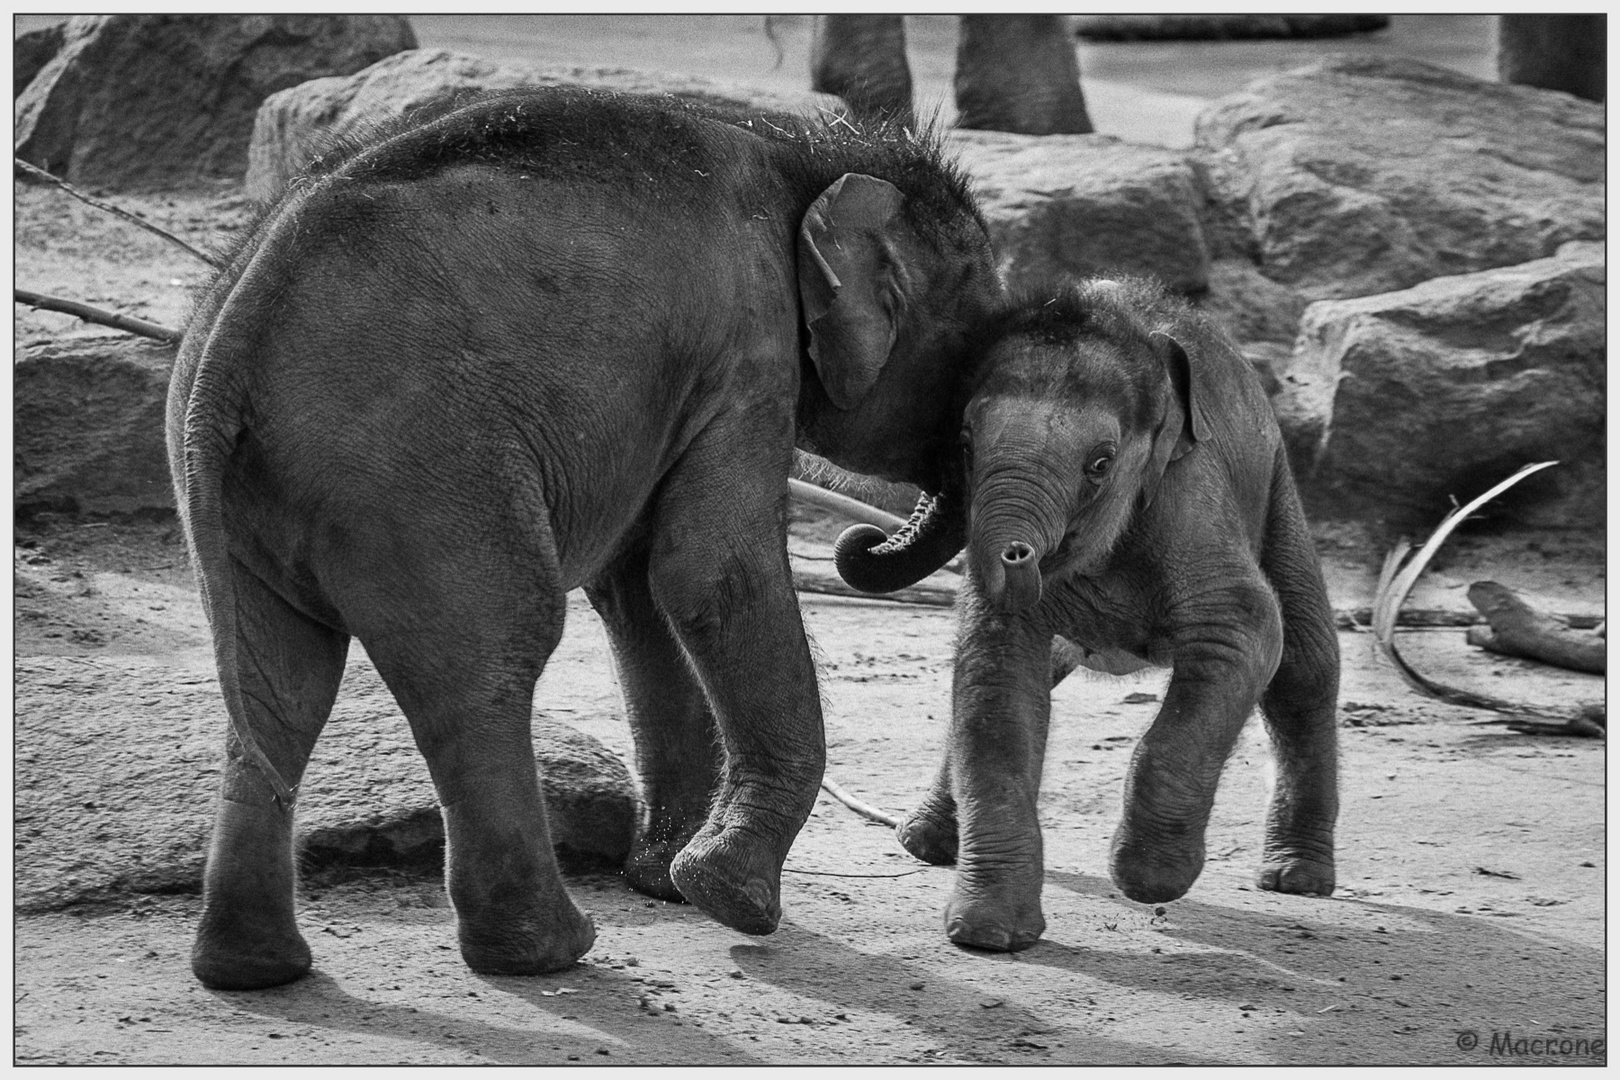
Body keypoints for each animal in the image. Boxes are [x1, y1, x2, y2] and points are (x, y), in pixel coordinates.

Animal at [167, 88, 997, 990]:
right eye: (978, 356)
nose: (857, 541)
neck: (802, 158)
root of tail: (232, 338)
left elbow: (638, 591)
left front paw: (666, 881)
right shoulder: (750, 353)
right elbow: (709, 574)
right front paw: (727, 896)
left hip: (261, 497)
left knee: (278, 689)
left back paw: (254, 969)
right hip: (422, 473)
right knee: (493, 657)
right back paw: (546, 949)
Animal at [881, 281, 1334, 952]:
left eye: (1100, 463)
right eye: (964, 444)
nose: (1016, 555)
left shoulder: (1190, 498)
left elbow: (1245, 632)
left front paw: (1148, 879)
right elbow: (995, 682)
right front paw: (989, 937)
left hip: (1278, 491)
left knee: (1304, 667)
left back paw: (1297, 879)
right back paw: (927, 843)